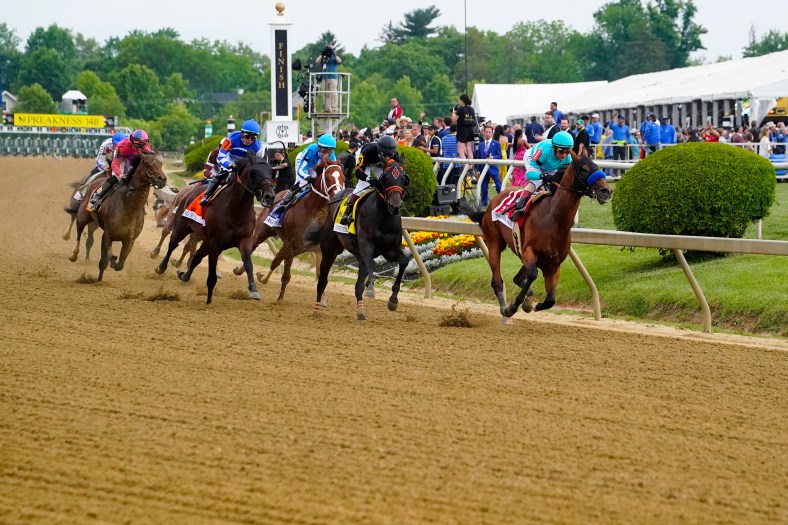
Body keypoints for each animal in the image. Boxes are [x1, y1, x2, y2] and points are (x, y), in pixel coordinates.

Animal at [69, 151, 166, 282]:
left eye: (161, 163)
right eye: (147, 164)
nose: (162, 179)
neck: (129, 206)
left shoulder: (130, 239)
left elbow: (120, 265)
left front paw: (113, 260)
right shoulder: (107, 235)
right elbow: (103, 262)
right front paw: (98, 280)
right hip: (82, 216)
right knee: (79, 230)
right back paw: (74, 254)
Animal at [155, 151, 276, 304]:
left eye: (271, 172)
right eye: (254, 172)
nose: (269, 196)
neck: (235, 210)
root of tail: (187, 192)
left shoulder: (245, 240)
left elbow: (248, 264)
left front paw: (254, 290)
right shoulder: (215, 243)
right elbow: (211, 274)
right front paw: (208, 300)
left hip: (203, 239)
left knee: (196, 257)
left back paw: (184, 275)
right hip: (182, 227)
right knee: (172, 243)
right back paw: (161, 266)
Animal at [234, 155, 344, 298]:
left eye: (343, 178)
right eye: (328, 178)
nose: (339, 196)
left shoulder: (316, 250)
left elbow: (320, 276)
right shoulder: (291, 245)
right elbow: (278, 265)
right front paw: (267, 284)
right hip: (262, 233)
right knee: (253, 247)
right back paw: (240, 271)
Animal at [470, 148, 612, 320]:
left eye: (597, 165)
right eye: (584, 169)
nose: (606, 191)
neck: (553, 220)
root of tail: (493, 201)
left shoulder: (553, 264)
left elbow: (550, 299)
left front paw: (534, 304)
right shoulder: (529, 252)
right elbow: (532, 275)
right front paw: (515, 305)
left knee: (517, 278)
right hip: (494, 243)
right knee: (497, 280)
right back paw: (505, 308)